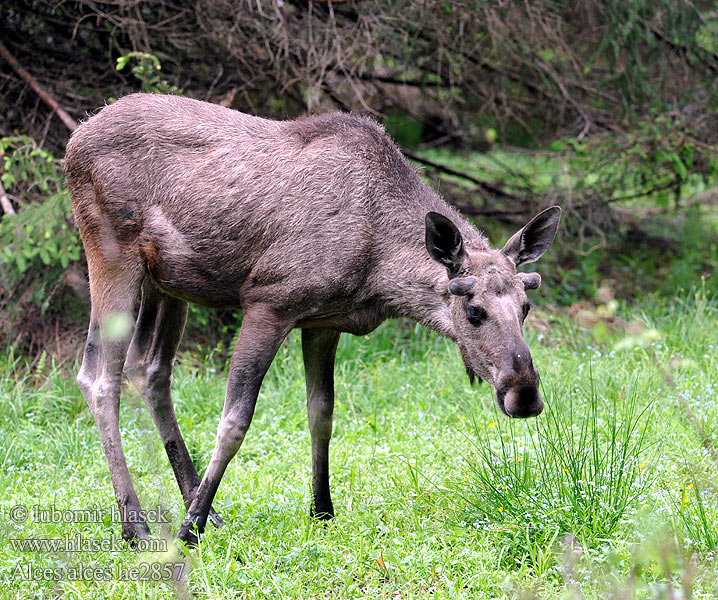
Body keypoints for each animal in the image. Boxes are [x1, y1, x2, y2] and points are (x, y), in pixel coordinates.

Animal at [64, 92, 564, 544]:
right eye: (474, 311)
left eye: (526, 306)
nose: (525, 394)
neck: (377, 267)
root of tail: (73, 141)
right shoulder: (268, 303)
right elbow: (235, 420)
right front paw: (189, 530)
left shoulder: (324, 322)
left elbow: (321, 413)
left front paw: (321, 508)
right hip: (112, 255)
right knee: (99, 377)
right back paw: (137, 524)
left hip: (168, 285)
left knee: (150, 370)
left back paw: (198, 507)